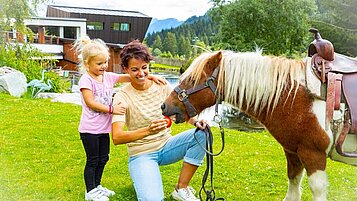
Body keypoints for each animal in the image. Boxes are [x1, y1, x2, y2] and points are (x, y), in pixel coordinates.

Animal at [161, 49, 356, 201]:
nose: (164, 106)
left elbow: (317, 188)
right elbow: (293, 186)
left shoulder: (313, 154)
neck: (297, 96)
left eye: (192, 80)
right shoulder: (293, 151)